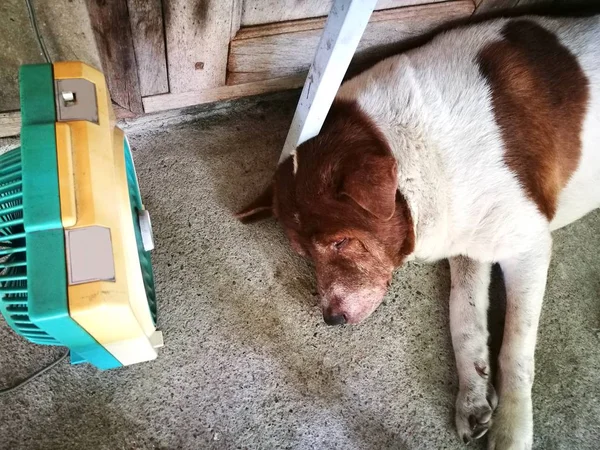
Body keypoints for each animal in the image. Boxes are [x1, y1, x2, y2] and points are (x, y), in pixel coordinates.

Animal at [237, 14, 596, 450]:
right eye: (304, 254)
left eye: (340, 241)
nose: (331, 319)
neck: (417, 156)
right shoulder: (470, 245)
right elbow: (464, 319)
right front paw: (473, 400)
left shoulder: (528, 246)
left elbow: (516, 349)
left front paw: (511, 430)